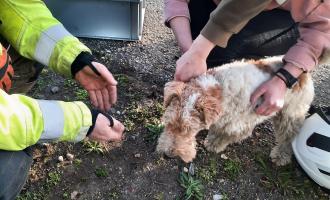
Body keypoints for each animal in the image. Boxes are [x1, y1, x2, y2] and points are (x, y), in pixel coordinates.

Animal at [156, 56, 314, 166]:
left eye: (189, 129)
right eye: (168, 124)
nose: (169, 155)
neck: (218, 90)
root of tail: (304, 75)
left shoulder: (237, 125)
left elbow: (225, 135)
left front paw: (215, 145)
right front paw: (211, 141)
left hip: (289, 116)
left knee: (287, 138)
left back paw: (280, 156)